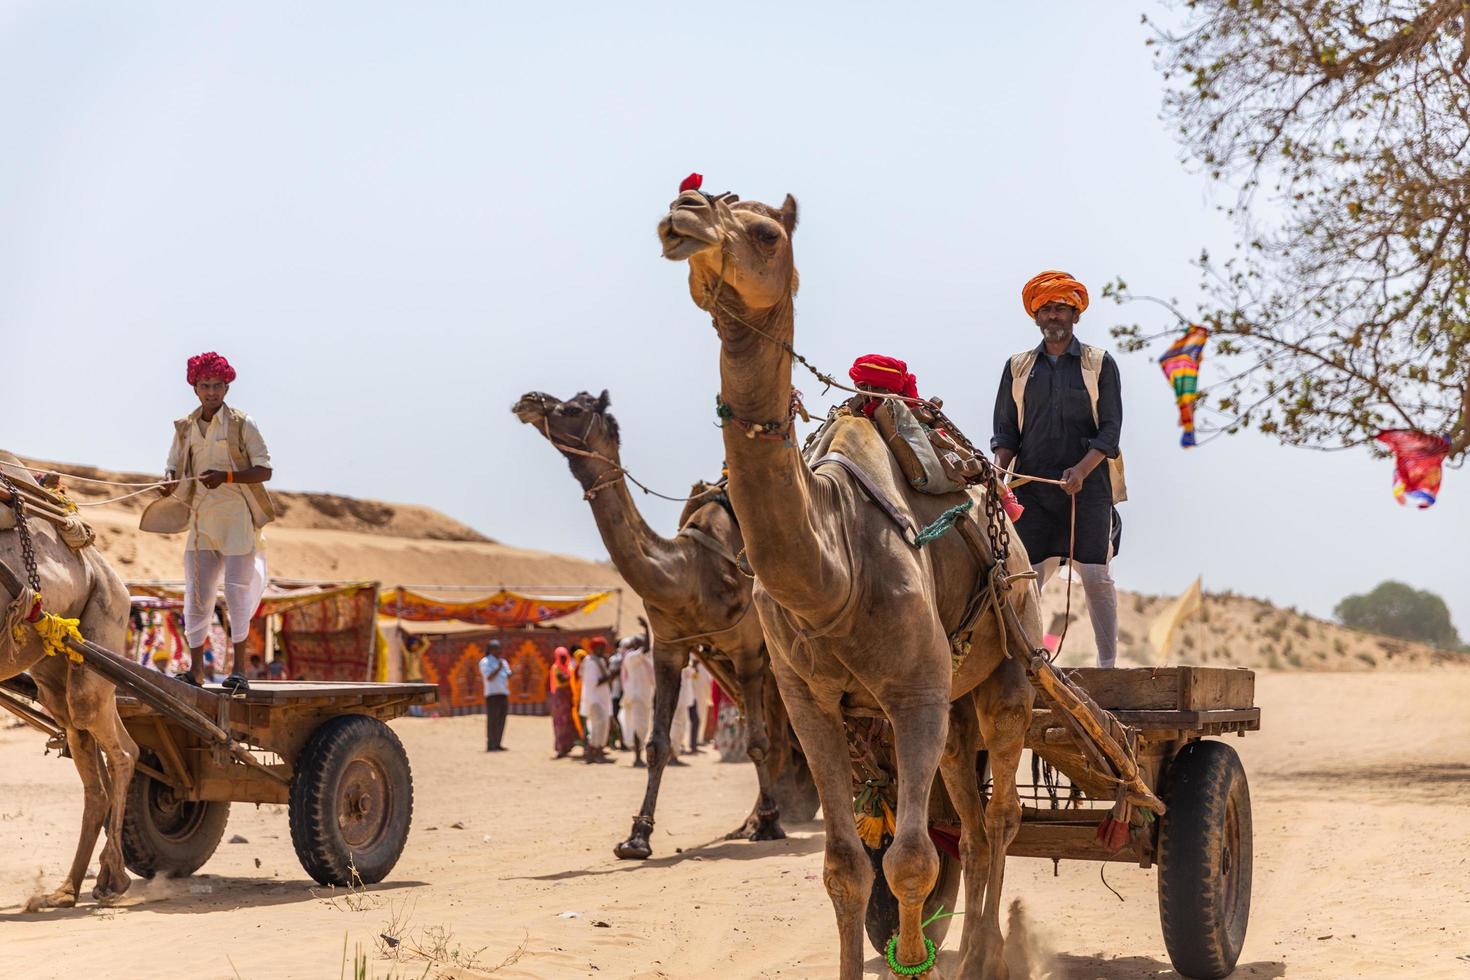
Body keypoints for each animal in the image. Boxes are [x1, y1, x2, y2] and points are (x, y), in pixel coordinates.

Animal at [0, 455, 138, 910]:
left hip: (106, 615)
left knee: (119, 749)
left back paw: (112, 878)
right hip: (53, 664)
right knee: (87, 746)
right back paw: (67, 889)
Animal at [514, 390, 817, 858]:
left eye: (573, 408)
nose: (529, 400)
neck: (689, 573)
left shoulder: (747, 650)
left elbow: (756, 741)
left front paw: (769, 823)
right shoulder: (669, 648)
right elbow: (657, 743)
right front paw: (637, 837)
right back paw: (762, 814)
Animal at [655, 185, 1046, 980]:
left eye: (766, 233)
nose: (684, 216)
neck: (833, 574)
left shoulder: (915, 693)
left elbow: (912, 862)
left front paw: (914, 956)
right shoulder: (810, 702)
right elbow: (845, 865)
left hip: (1009, 668)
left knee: (1000, 817)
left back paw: (987, 955)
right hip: (955, 708)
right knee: (971, 817)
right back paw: (971, 951)